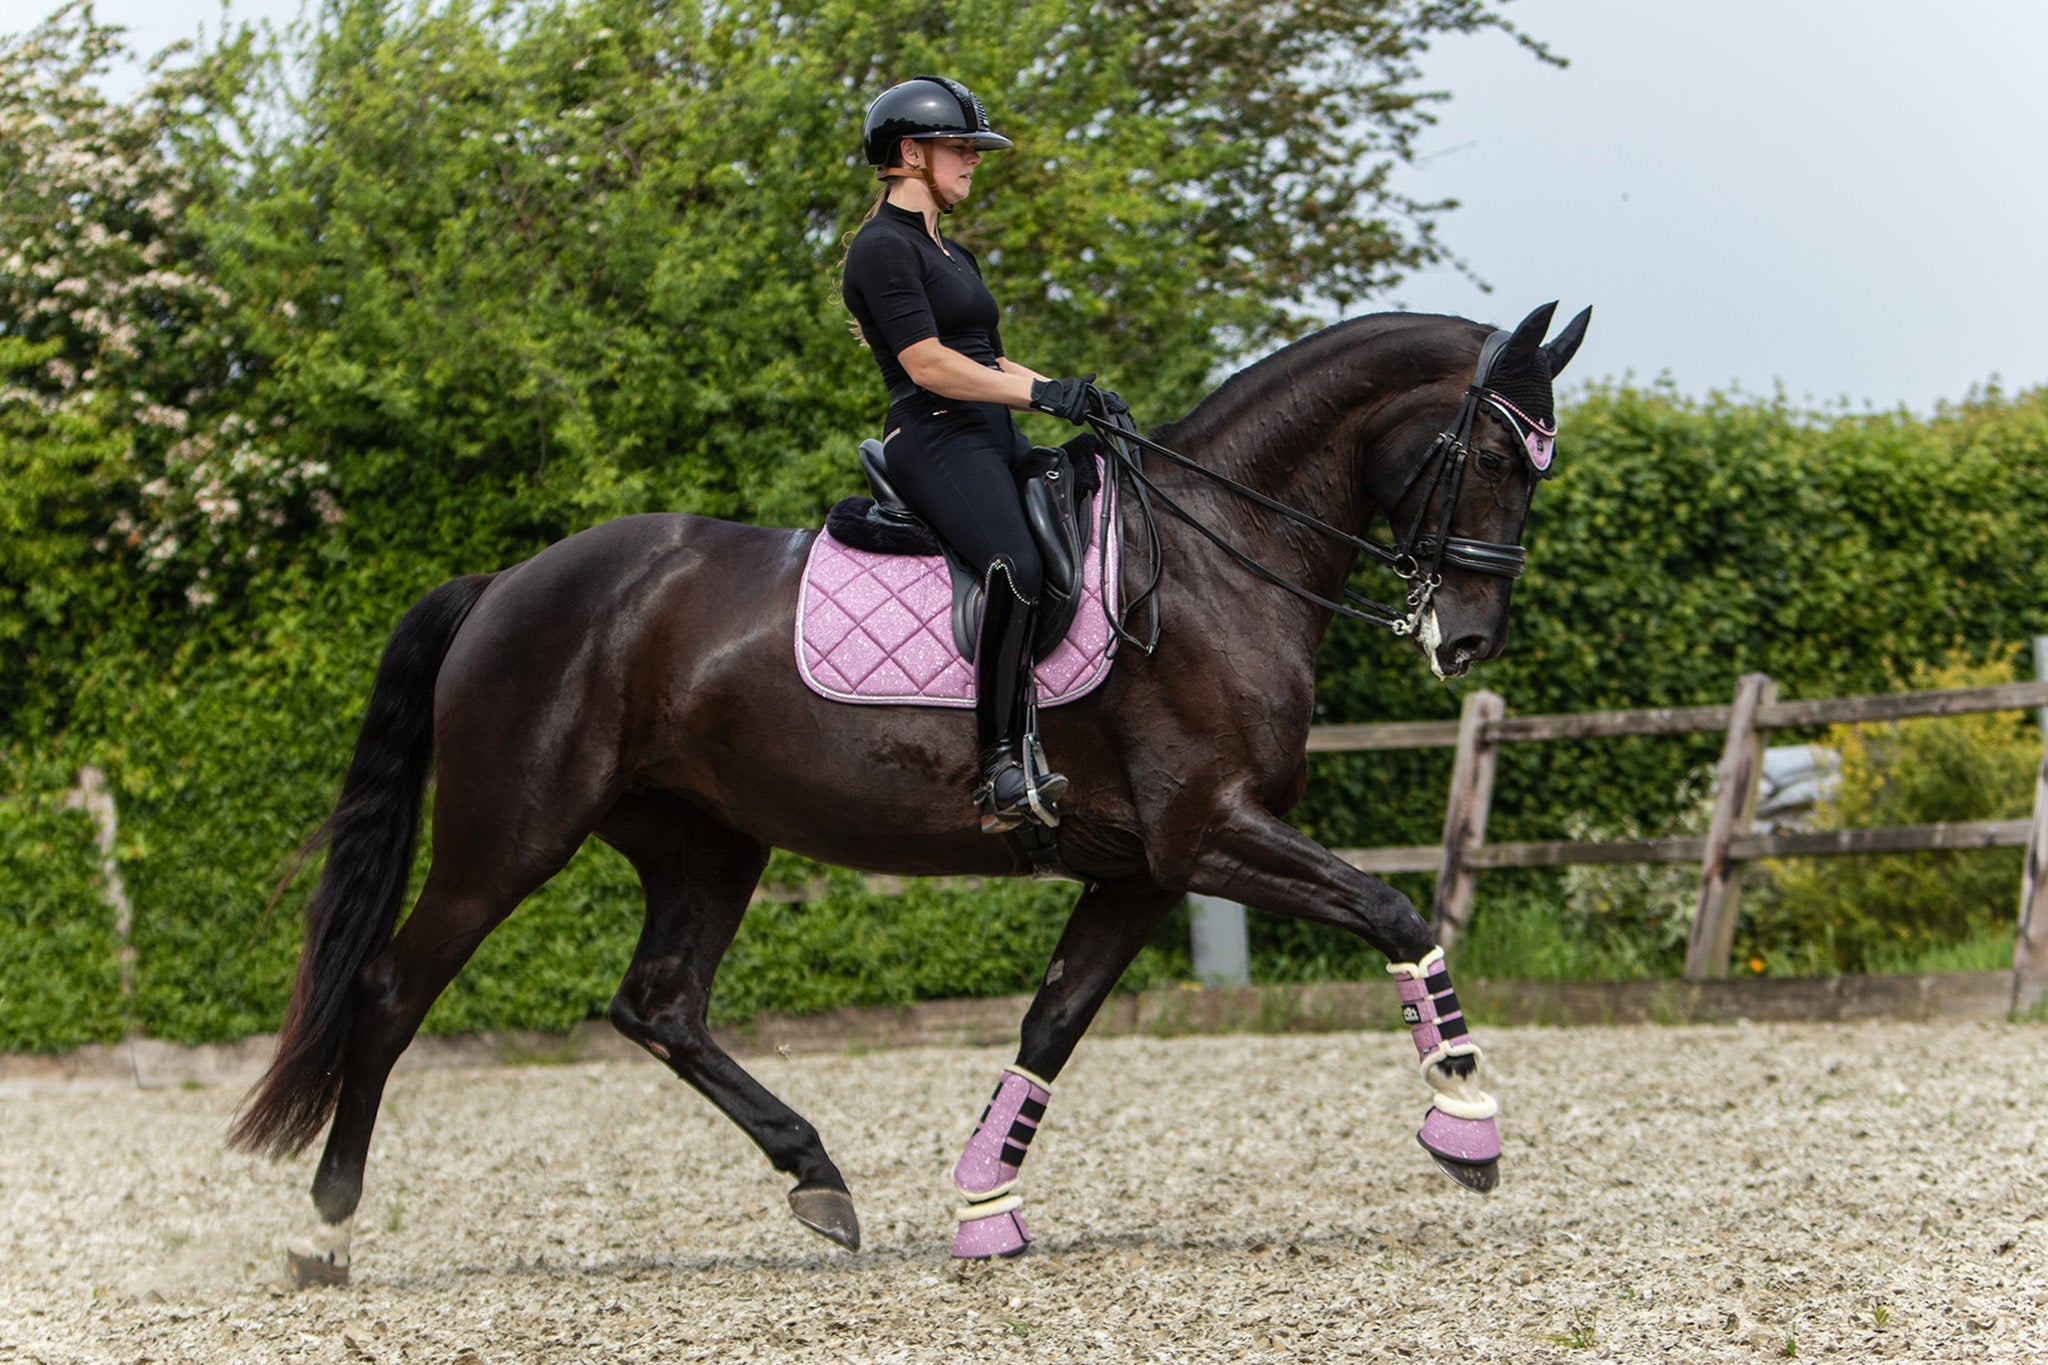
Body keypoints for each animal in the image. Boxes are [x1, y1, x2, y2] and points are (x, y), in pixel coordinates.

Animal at [232, 298, 1589, 1285]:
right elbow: (1398, 913)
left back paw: (817, 1178)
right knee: (395, 991)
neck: (1214, 558)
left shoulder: (1144, 869)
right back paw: (323, 1232)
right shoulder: (1209, 835)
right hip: (509, 834)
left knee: (659, 1003)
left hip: (704, 844)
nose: (1467, 640)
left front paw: (986, 1204)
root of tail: (505, 583)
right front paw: (1465, 1121)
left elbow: (1050, 1024)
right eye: (1485, 453)